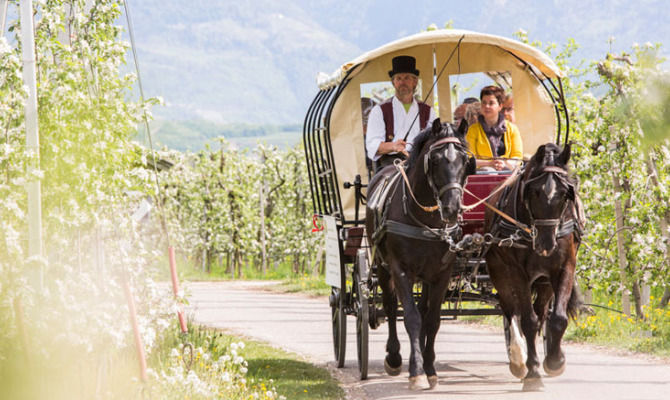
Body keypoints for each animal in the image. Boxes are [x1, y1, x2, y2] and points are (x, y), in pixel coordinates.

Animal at [368, 119, 478, 390]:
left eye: (466, 160)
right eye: (435, 160)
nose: (452, 208)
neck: (426, 219)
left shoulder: (442, 273)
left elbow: (432, 320)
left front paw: (429, 368)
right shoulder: (400, 269)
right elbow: (411, 317)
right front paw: (415, 370)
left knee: (423, 308)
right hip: (382, 266)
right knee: (389, 306)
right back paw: (394, 357)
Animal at [486, 143, 584, 390]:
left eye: (565, 194)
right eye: (534, 192)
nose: (545, 244)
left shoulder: (564, 267)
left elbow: (557, 318)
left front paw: (555, 361)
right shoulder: (517, 273)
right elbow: (527, 321)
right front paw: (532, 373)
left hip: (543, 281)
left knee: (540, 311)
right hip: (499, 271)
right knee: (511, 310)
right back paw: (518, 359)